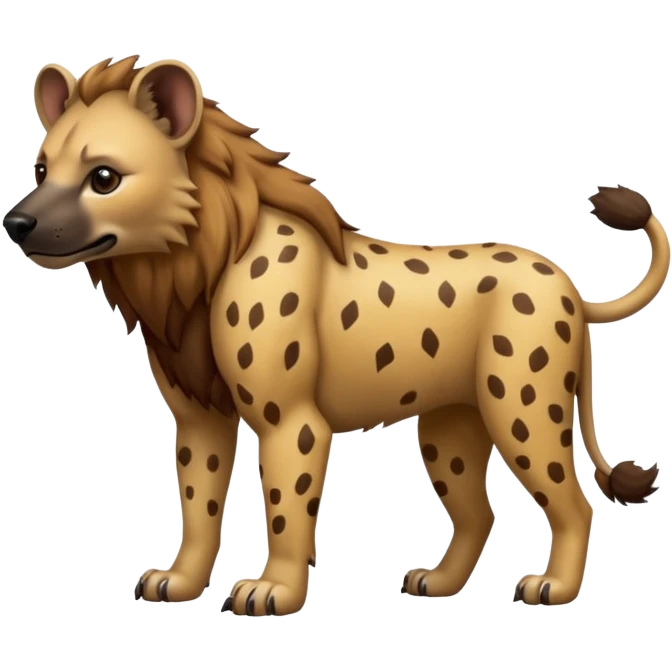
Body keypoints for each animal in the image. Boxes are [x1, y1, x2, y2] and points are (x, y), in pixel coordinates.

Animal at [3, 55, 665, 614]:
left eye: (104, 177)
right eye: (40, 169)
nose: (17, 221)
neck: (188, 271)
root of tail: (569, 286)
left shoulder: (290, 418)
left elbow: (284, 508)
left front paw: (271, 592)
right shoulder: (199, 415)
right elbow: (198, 502)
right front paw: (179, 583)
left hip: (521, 407)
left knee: (572, 502)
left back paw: (552, 588)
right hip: (449, 426)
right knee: (478, 513)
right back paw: (437, 582)